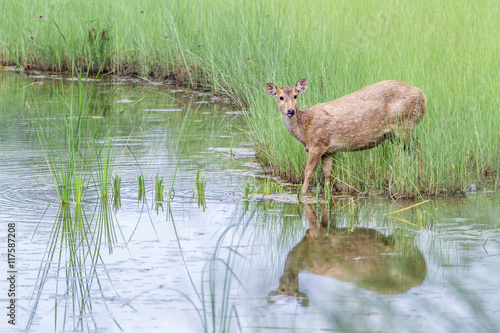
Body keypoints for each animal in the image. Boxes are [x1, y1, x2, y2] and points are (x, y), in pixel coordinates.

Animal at [266, 78, 426, 193]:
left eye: (295, 96)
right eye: (280, 97)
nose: (291, 111)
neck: (304, 129)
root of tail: (423, 97)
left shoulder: (317, 144)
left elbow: (308, 172)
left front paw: (302, 194)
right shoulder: (328, 151)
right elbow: (327, 174)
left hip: (403, 125)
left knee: (417, 147)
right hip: (394, 134)